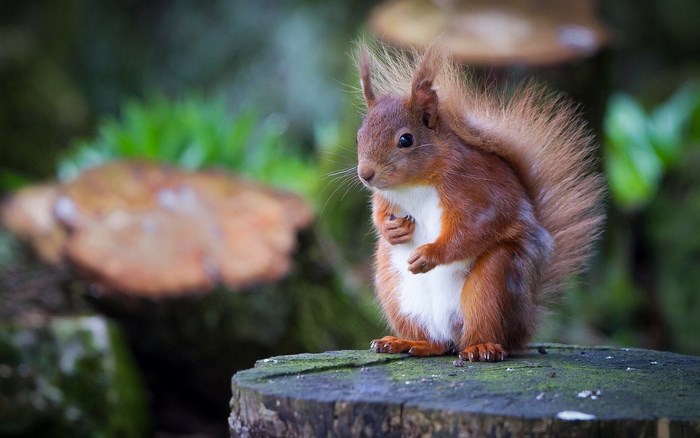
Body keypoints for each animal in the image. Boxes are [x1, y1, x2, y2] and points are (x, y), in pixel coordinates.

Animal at [355, 42, 605, 362]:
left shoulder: (478, 192)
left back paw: (481, 347)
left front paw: (430, 254)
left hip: (494, 282)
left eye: (406, 140)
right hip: (395, 289)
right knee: (436, 344)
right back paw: (407, 342)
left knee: (481, 330)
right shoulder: (385, 197)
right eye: (359, 136)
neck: (414, 184)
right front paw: (391, 230)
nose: (366, 174)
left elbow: (474, 229)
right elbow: (378, 213)